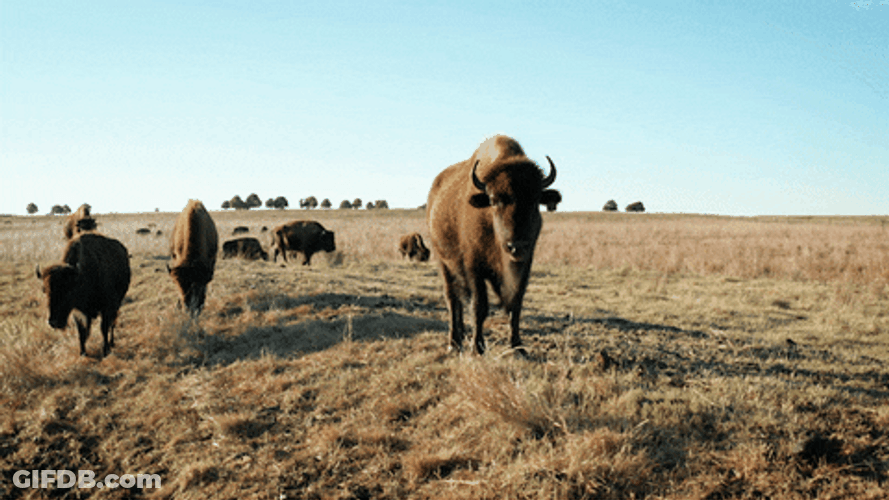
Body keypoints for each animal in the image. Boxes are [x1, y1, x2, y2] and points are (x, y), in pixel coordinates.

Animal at [426, 135, 560, 355]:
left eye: (535, 201)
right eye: (495, 200)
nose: (516, 246)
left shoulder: (524, 266)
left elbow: (515, 305)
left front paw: (518, 346)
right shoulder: (474, 268)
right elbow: (479, 306)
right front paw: (477, 348)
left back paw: (461, 336)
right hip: (443, 262)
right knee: (452, 298)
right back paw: (454, 343)